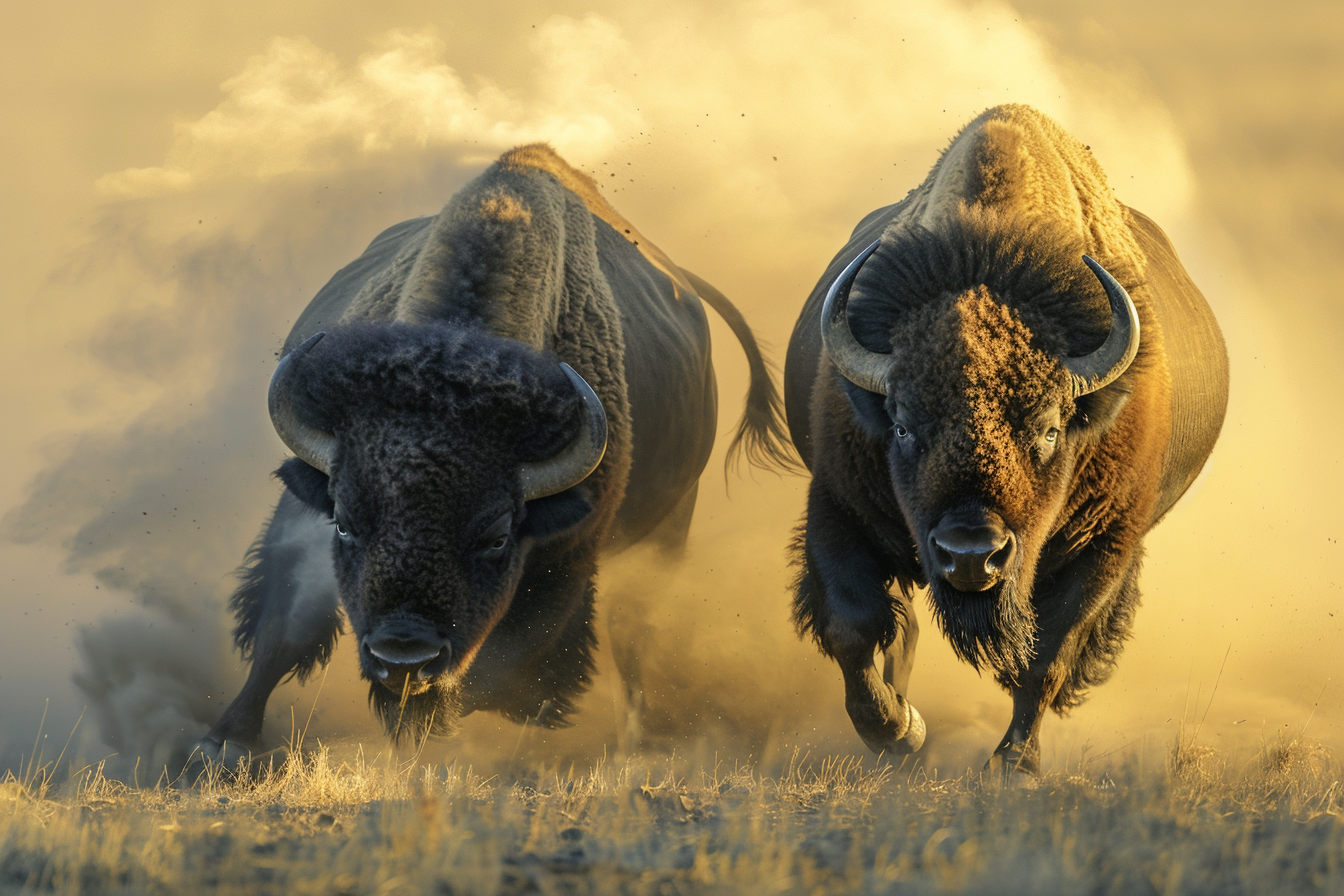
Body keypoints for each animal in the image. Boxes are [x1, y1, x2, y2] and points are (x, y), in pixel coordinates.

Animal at [194, 144, 792, 764]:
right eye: (345, 524)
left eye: (497, 537)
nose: (402, 655)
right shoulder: (307, 506)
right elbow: (284, 624)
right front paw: (225, 742)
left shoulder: (566, 553)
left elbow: (504, 666)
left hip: (671, 524)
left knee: (632, 635)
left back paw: (631, 745)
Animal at [784, 105, 1228, 775]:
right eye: (902, 424)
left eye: (1049, 428)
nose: (971, 554)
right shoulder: (838, 507)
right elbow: (852, 626)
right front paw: (899, 731)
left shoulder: (1106, 543)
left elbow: (1048, 657)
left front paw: (1013, 766)